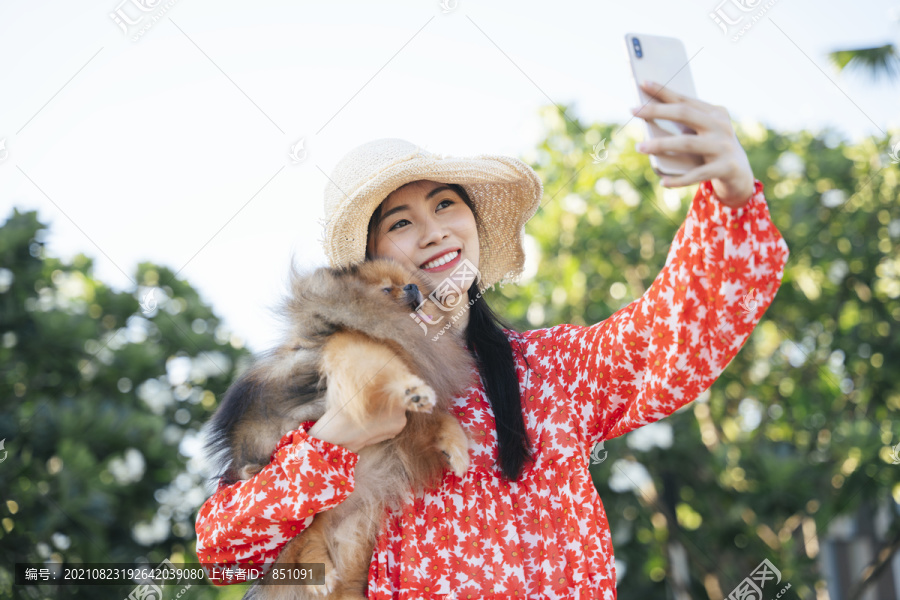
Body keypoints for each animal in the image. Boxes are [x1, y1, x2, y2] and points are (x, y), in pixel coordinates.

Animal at [200, 258, 474, 600]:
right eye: (387, 289)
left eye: (408, 284)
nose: (412, 287)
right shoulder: (351, 350)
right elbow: (383, 372)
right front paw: (410, 390)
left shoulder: (409, 432)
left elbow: (443, 421)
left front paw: (456, 450)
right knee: (299, 540)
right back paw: (320, 573)